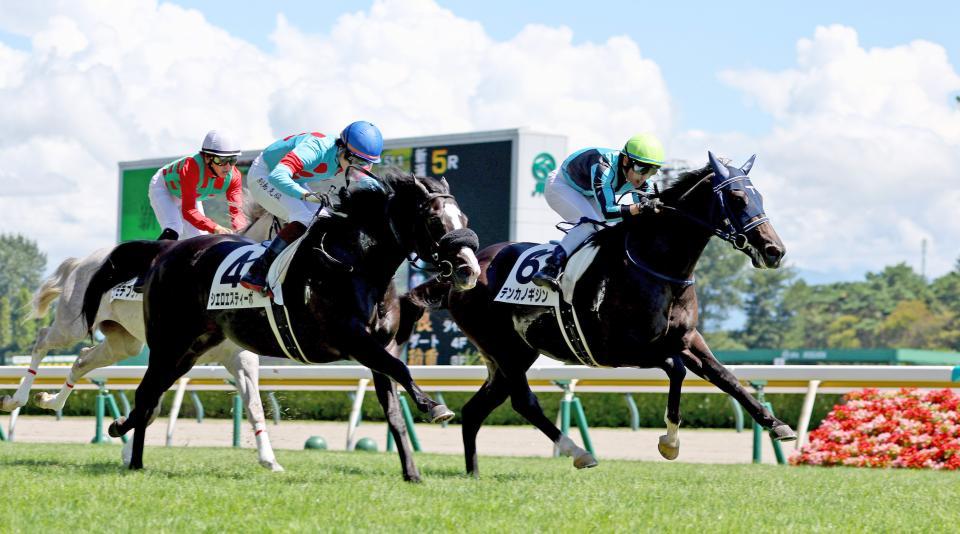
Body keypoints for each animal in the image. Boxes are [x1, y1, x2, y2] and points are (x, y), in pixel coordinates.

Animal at [0, 203, 286, 472]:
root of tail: (82, 262)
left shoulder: (239, 357)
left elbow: (254, 406)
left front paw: (269, 460)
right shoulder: (173, 354)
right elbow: (151, 403)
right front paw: (127, 446)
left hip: (123, 343)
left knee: (81, 360)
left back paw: (50, 400)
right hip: (73, 326)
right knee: (42, 340)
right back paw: (15, 399)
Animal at [82, 171, 480, 482]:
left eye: (464, 218)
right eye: (435, 222)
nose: (469, 270)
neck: (356, 264)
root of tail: (165, 252)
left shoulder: (381, 346)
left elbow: (394, 408)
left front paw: (412, 472)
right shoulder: (352, 340)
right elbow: (401, 369)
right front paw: (435, 407)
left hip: (191, 350)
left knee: (150, 396)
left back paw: (126, 439)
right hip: (168, 343)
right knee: (146, 394)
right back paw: (130, 450)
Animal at [404, 153, 796, 476]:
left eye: (760, 197)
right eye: (738, 198)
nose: (774, 250)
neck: (656, 264)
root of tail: (462, 272)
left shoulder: (685, 339)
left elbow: (726, 377)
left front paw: (777, 425)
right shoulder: (619, 349)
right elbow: (676, 369)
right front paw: (669, 443)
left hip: (513, 352)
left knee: (476, 410)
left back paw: (474, 472)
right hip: (503, 347)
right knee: (523, 401)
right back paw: (580, 453)